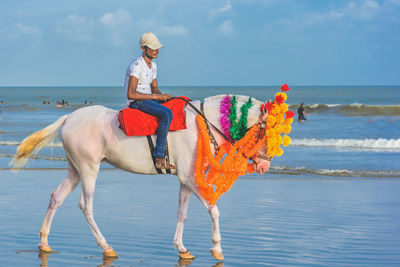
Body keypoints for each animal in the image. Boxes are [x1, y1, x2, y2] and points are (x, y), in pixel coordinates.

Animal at [11, 96, 272, 262]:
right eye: (265, 132)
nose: (266, 164)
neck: (203, 123)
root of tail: (68, 118)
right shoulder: (190, 178)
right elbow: (213, 209)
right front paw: (217, 248)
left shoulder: (185, 180)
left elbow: (182, 213)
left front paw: (181, 248)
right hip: (88, 169)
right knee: (86, 206)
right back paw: (106, 247)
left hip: (75, 170)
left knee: (56, 197)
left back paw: (44, 243)